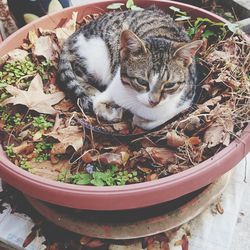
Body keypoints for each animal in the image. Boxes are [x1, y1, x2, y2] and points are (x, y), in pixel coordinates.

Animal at [57, 8, 202, 130]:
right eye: (141, 81)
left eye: (169, 85)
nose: (153, 101)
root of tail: (76, 33)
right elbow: (97, 105)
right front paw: (113, 112)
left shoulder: (184, 102)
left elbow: (155, 121)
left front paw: (138, 119)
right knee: (78, 75)